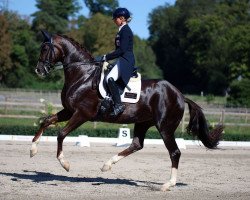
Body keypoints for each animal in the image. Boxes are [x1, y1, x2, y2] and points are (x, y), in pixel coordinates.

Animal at [30, 30, 224, 191]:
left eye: (45, 48)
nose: (38, 70)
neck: (82, 76)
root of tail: (180, 95)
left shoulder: (81, 114)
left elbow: (61, 134)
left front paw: (65, 164)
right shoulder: (69, 111)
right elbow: (46, 121)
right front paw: (32, 150)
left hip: (165, 128)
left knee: (174, 152)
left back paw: (168, 184)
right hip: (143, 122)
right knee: (136, 145)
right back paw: (107, 165)